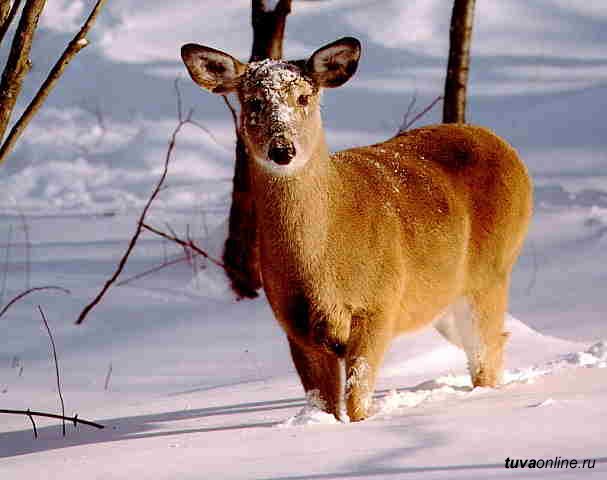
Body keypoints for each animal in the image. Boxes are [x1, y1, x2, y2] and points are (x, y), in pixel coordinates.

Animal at [183, 36, 536, 420]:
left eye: (304, 97)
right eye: (254, 101)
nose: (282, 150)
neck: (321, 264)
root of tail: (504, 147)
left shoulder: (378, 304)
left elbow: (356, 401)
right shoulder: (294, 324)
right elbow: (323, 404)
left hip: (490, 272)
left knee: (487, 352)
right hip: (444, 300)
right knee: (492, 343)